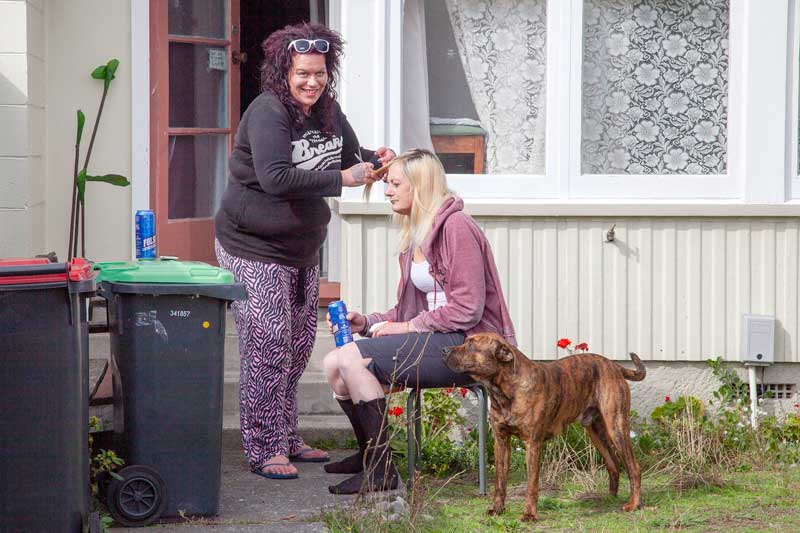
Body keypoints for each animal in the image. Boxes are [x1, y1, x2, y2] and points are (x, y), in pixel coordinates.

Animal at [444, 332, 644, 520]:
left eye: (471, 346)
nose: (444, 350)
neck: (506, 389)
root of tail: (614, 366)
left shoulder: (532, 444)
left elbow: (532, 484)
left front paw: (529, 514)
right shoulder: (501, 441)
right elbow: (500, 482)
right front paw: (497, 509)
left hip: (616, 426)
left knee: (633, 467)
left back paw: (633, 504)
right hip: (595, 430)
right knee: (613, 464)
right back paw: (609, 498)